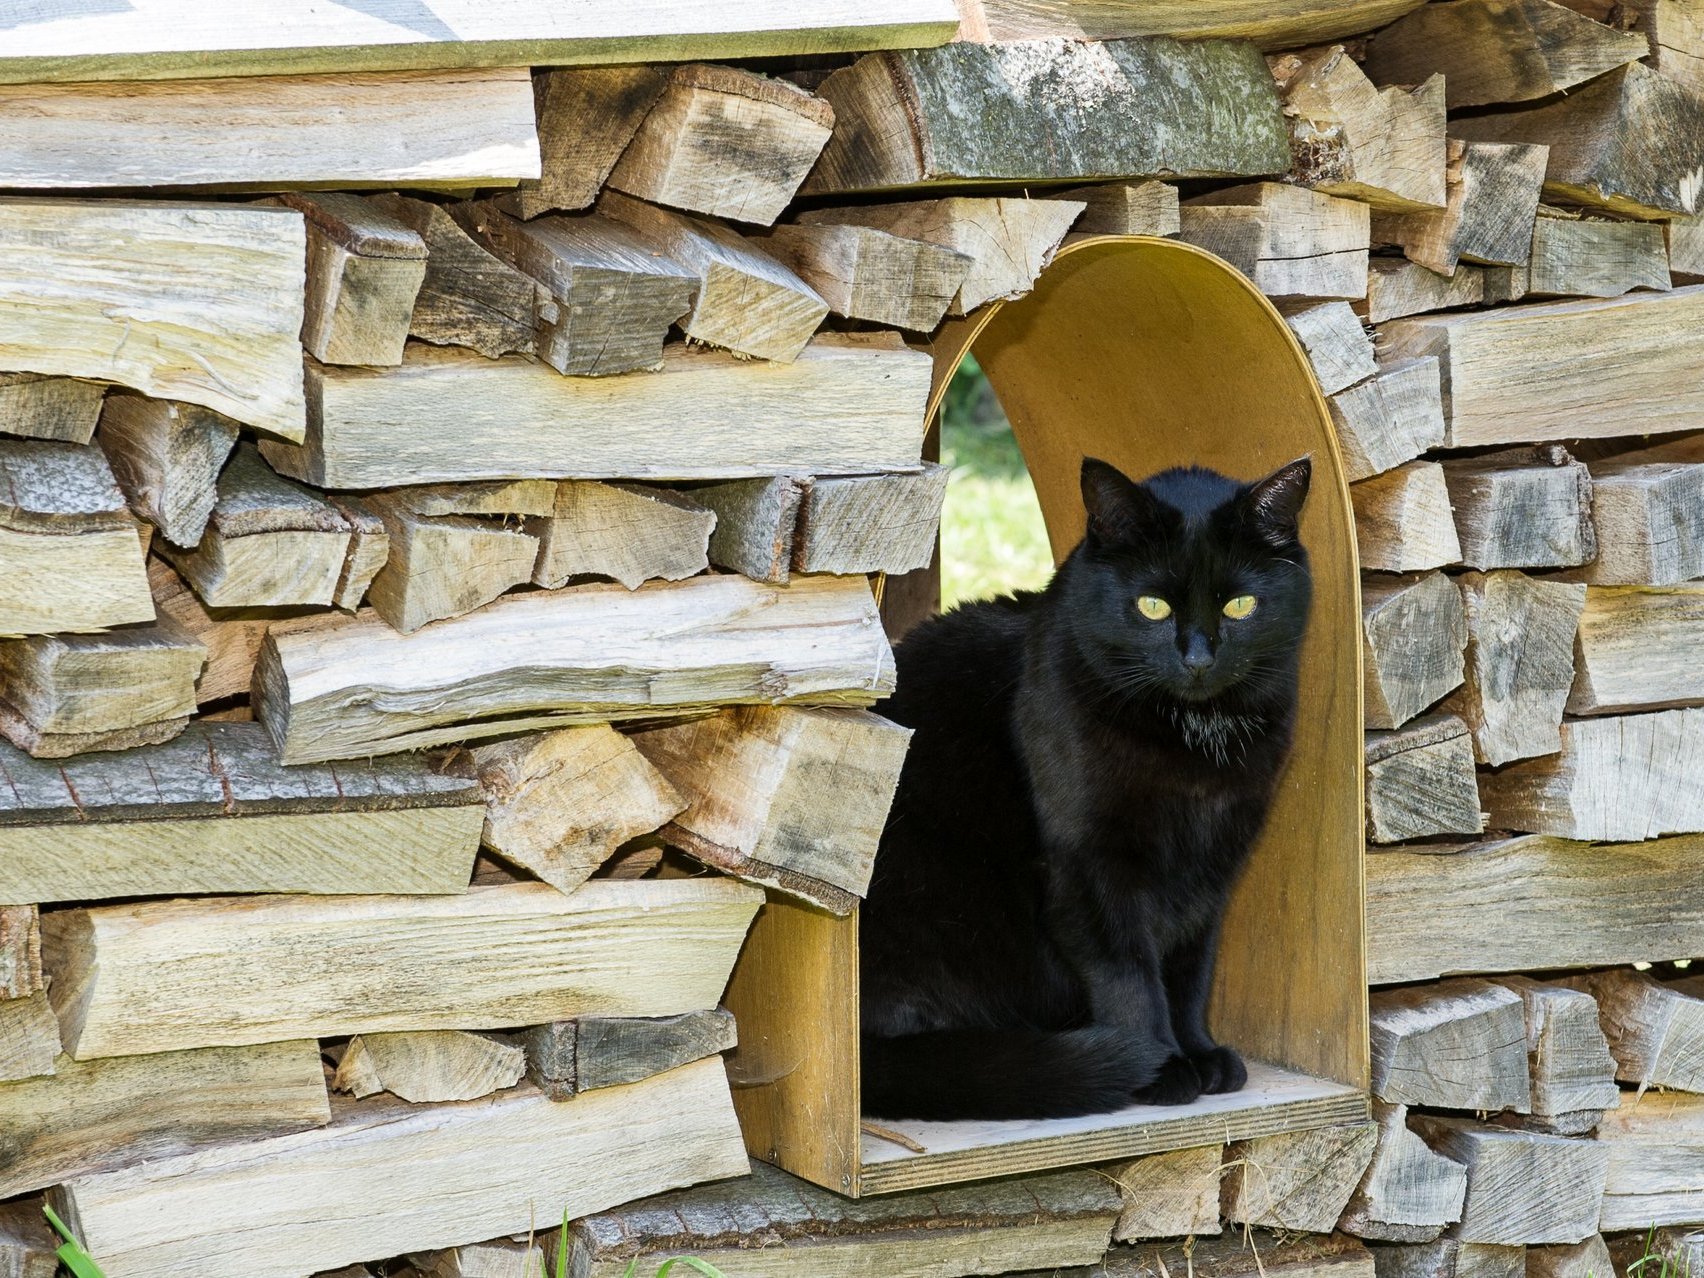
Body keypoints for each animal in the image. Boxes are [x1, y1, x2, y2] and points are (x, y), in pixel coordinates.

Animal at [858, 456, 1308, 1117]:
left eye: (1240, 606)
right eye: (1151, 606)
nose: (1199, 659)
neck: (1191, 744)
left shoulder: (1213, 866)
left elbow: (1191, 966)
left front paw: (1199, 1050)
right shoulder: (1088, 867)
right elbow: (1127, 973)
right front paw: (1161, 1063)